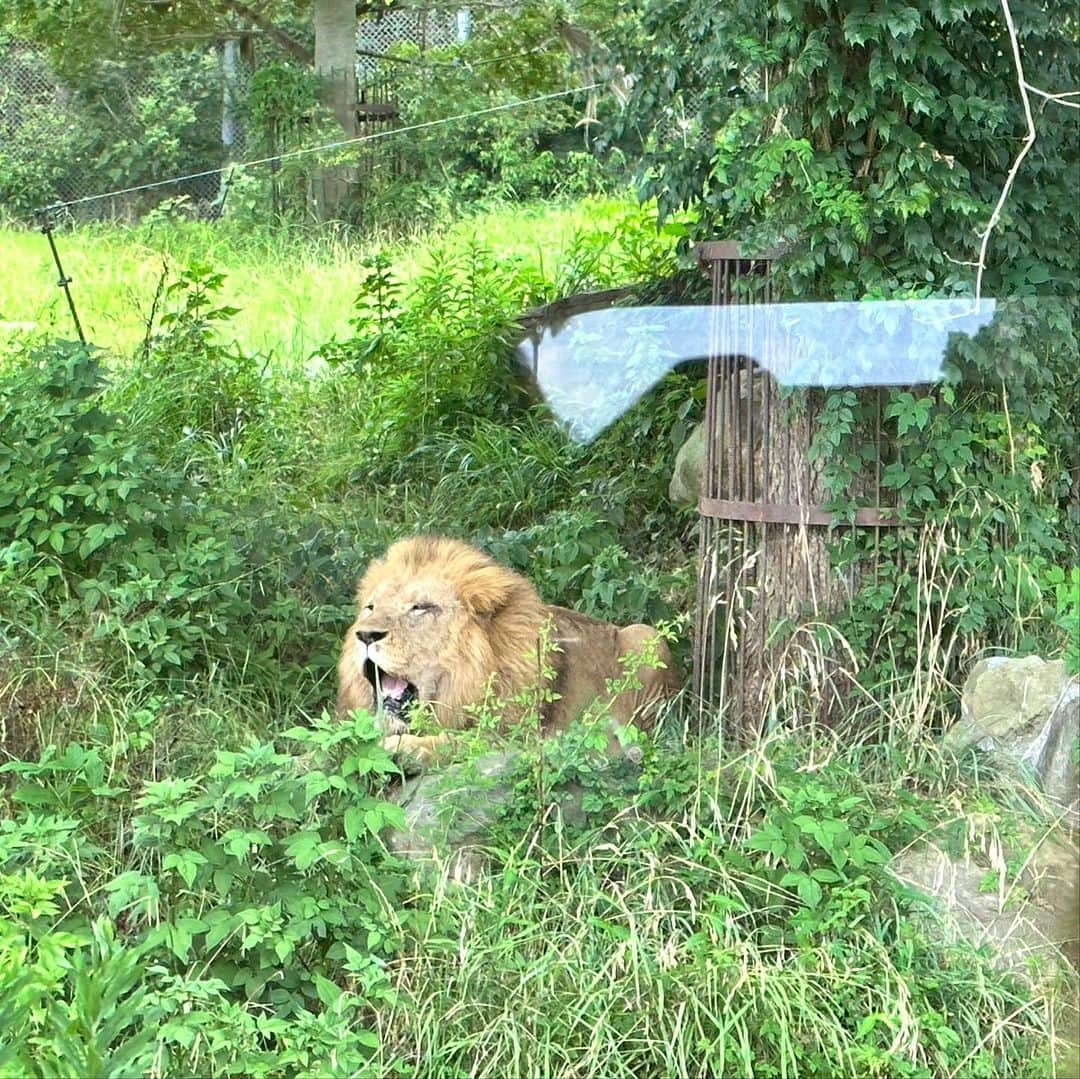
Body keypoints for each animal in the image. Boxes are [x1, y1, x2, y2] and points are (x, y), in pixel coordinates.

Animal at [332, 535, 678, 764]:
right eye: (370, 608)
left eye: (421, 607)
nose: (366, 635)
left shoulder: (518, 738)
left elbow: (458, 742)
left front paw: (403, 748)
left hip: (646, 636)